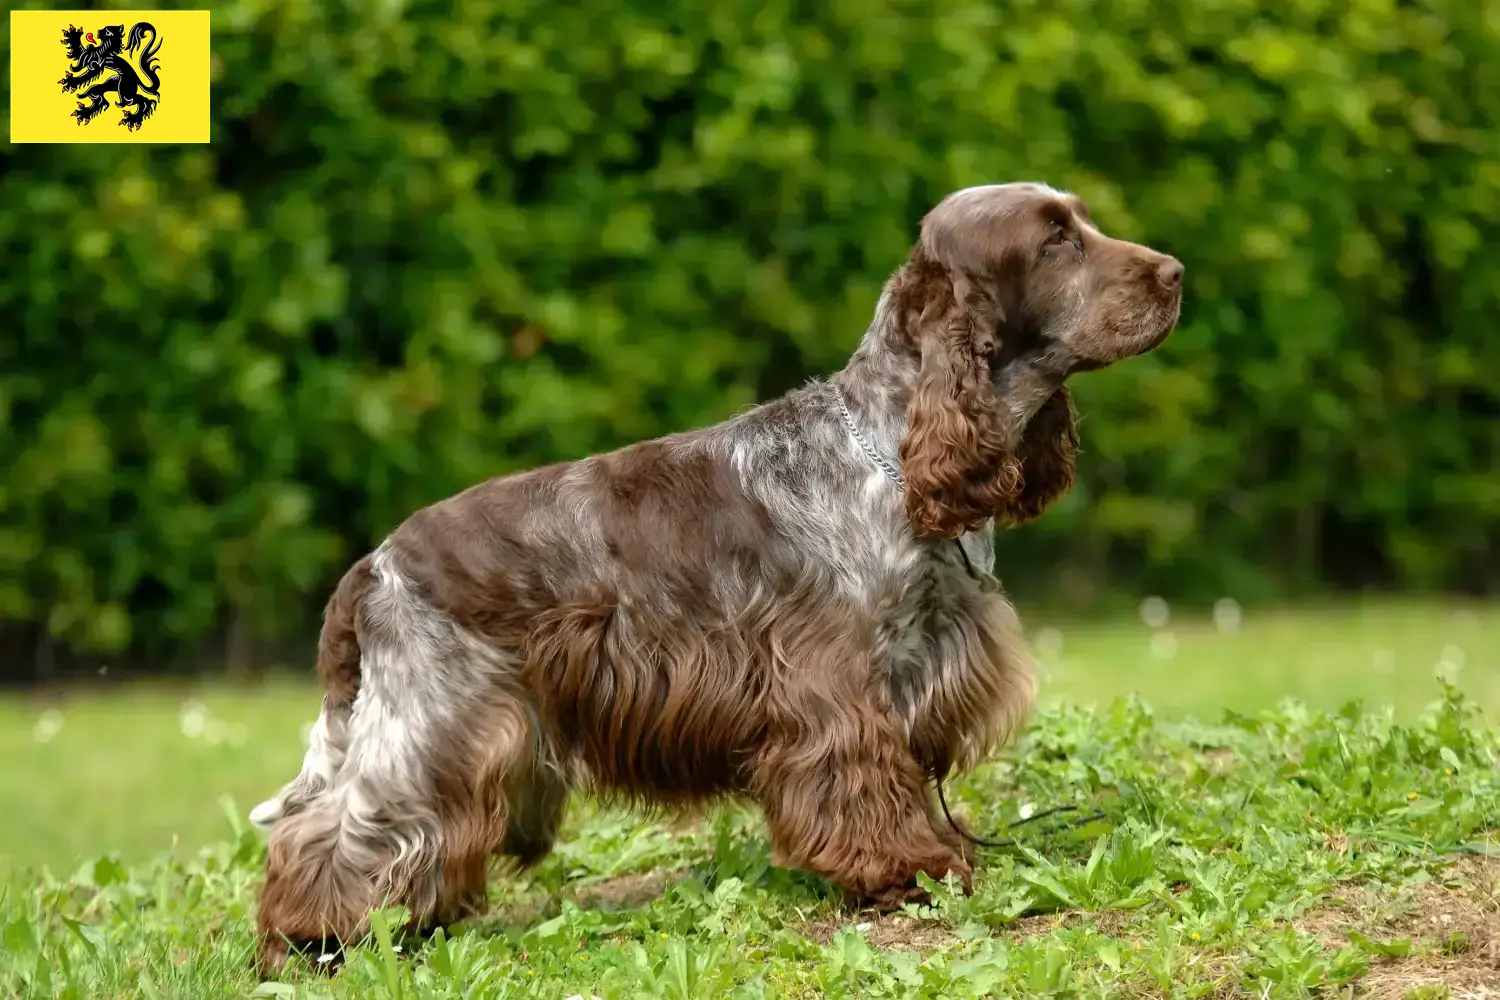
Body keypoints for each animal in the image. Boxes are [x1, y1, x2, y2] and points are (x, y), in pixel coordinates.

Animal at [246, 183, 1182, 971]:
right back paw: (309, 940)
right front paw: (910, 869)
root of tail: (374, 567)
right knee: (331, 829)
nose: (1175, 273)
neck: (890, 454)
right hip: (436, 719)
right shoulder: (834, 689)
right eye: (1055, 239)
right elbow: (864, 786)